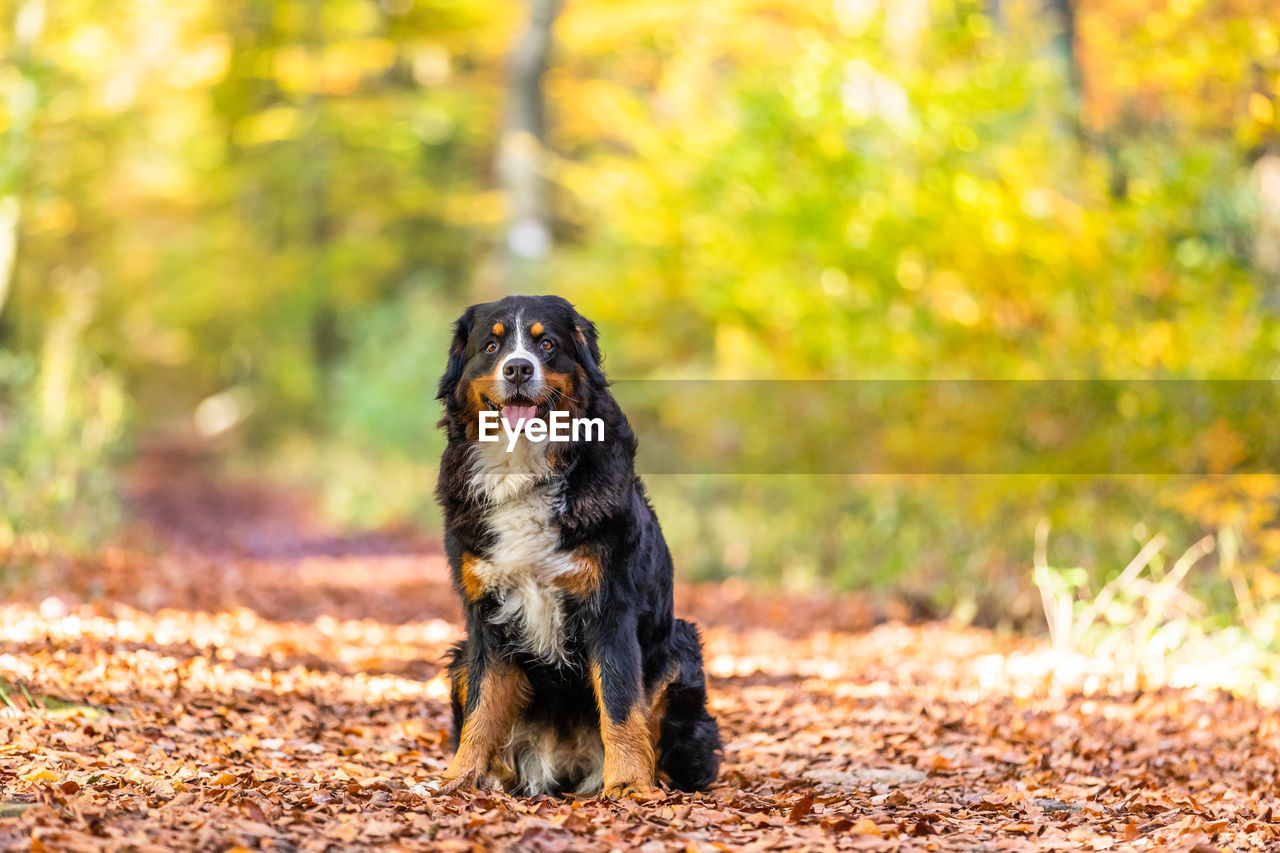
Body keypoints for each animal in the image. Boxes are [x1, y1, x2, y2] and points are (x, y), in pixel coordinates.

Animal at [435, 294, 721, 799]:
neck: (525, 470)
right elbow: (481, 707)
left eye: (546, 343)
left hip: (681, 647)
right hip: (458, 659)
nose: (518, 368)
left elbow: (620, 702)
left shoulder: (609, 605)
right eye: (491, 345)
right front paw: (460, 776)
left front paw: (628, 782)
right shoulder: (485, 615)